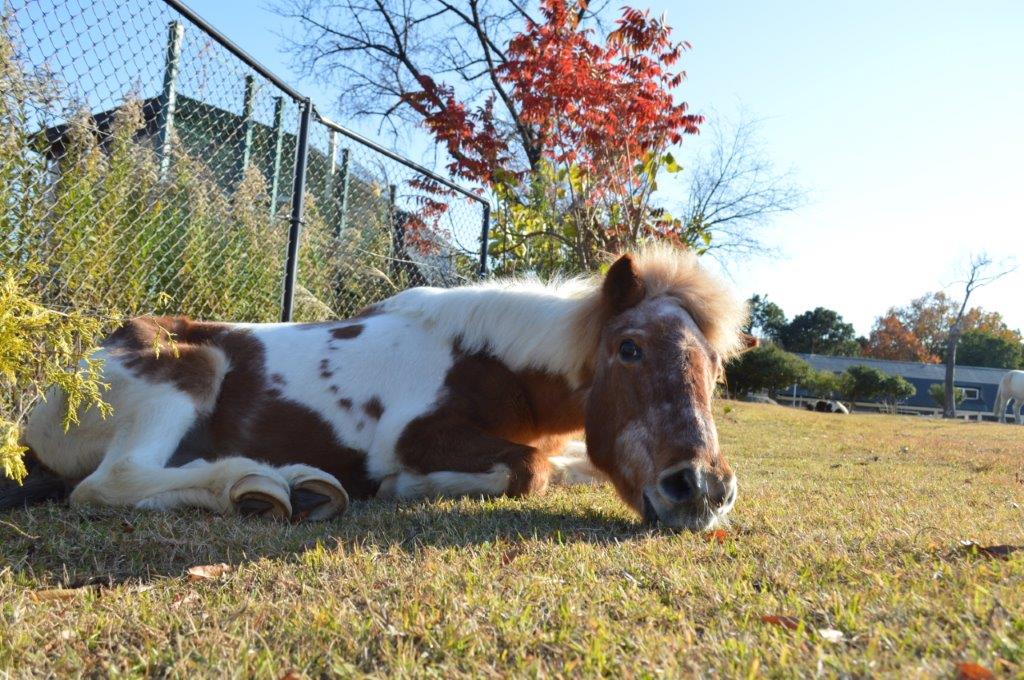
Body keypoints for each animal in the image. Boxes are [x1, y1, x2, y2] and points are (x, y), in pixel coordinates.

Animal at [4, 245, 749, 532]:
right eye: (629, 349)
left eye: (714, 368)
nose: (701, 489)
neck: (487, 360)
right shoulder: (421, 436)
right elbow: (529, 469)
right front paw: (400, 486)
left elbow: (562, 463)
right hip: (187, 371)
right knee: (109, 482)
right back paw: (265, 485)